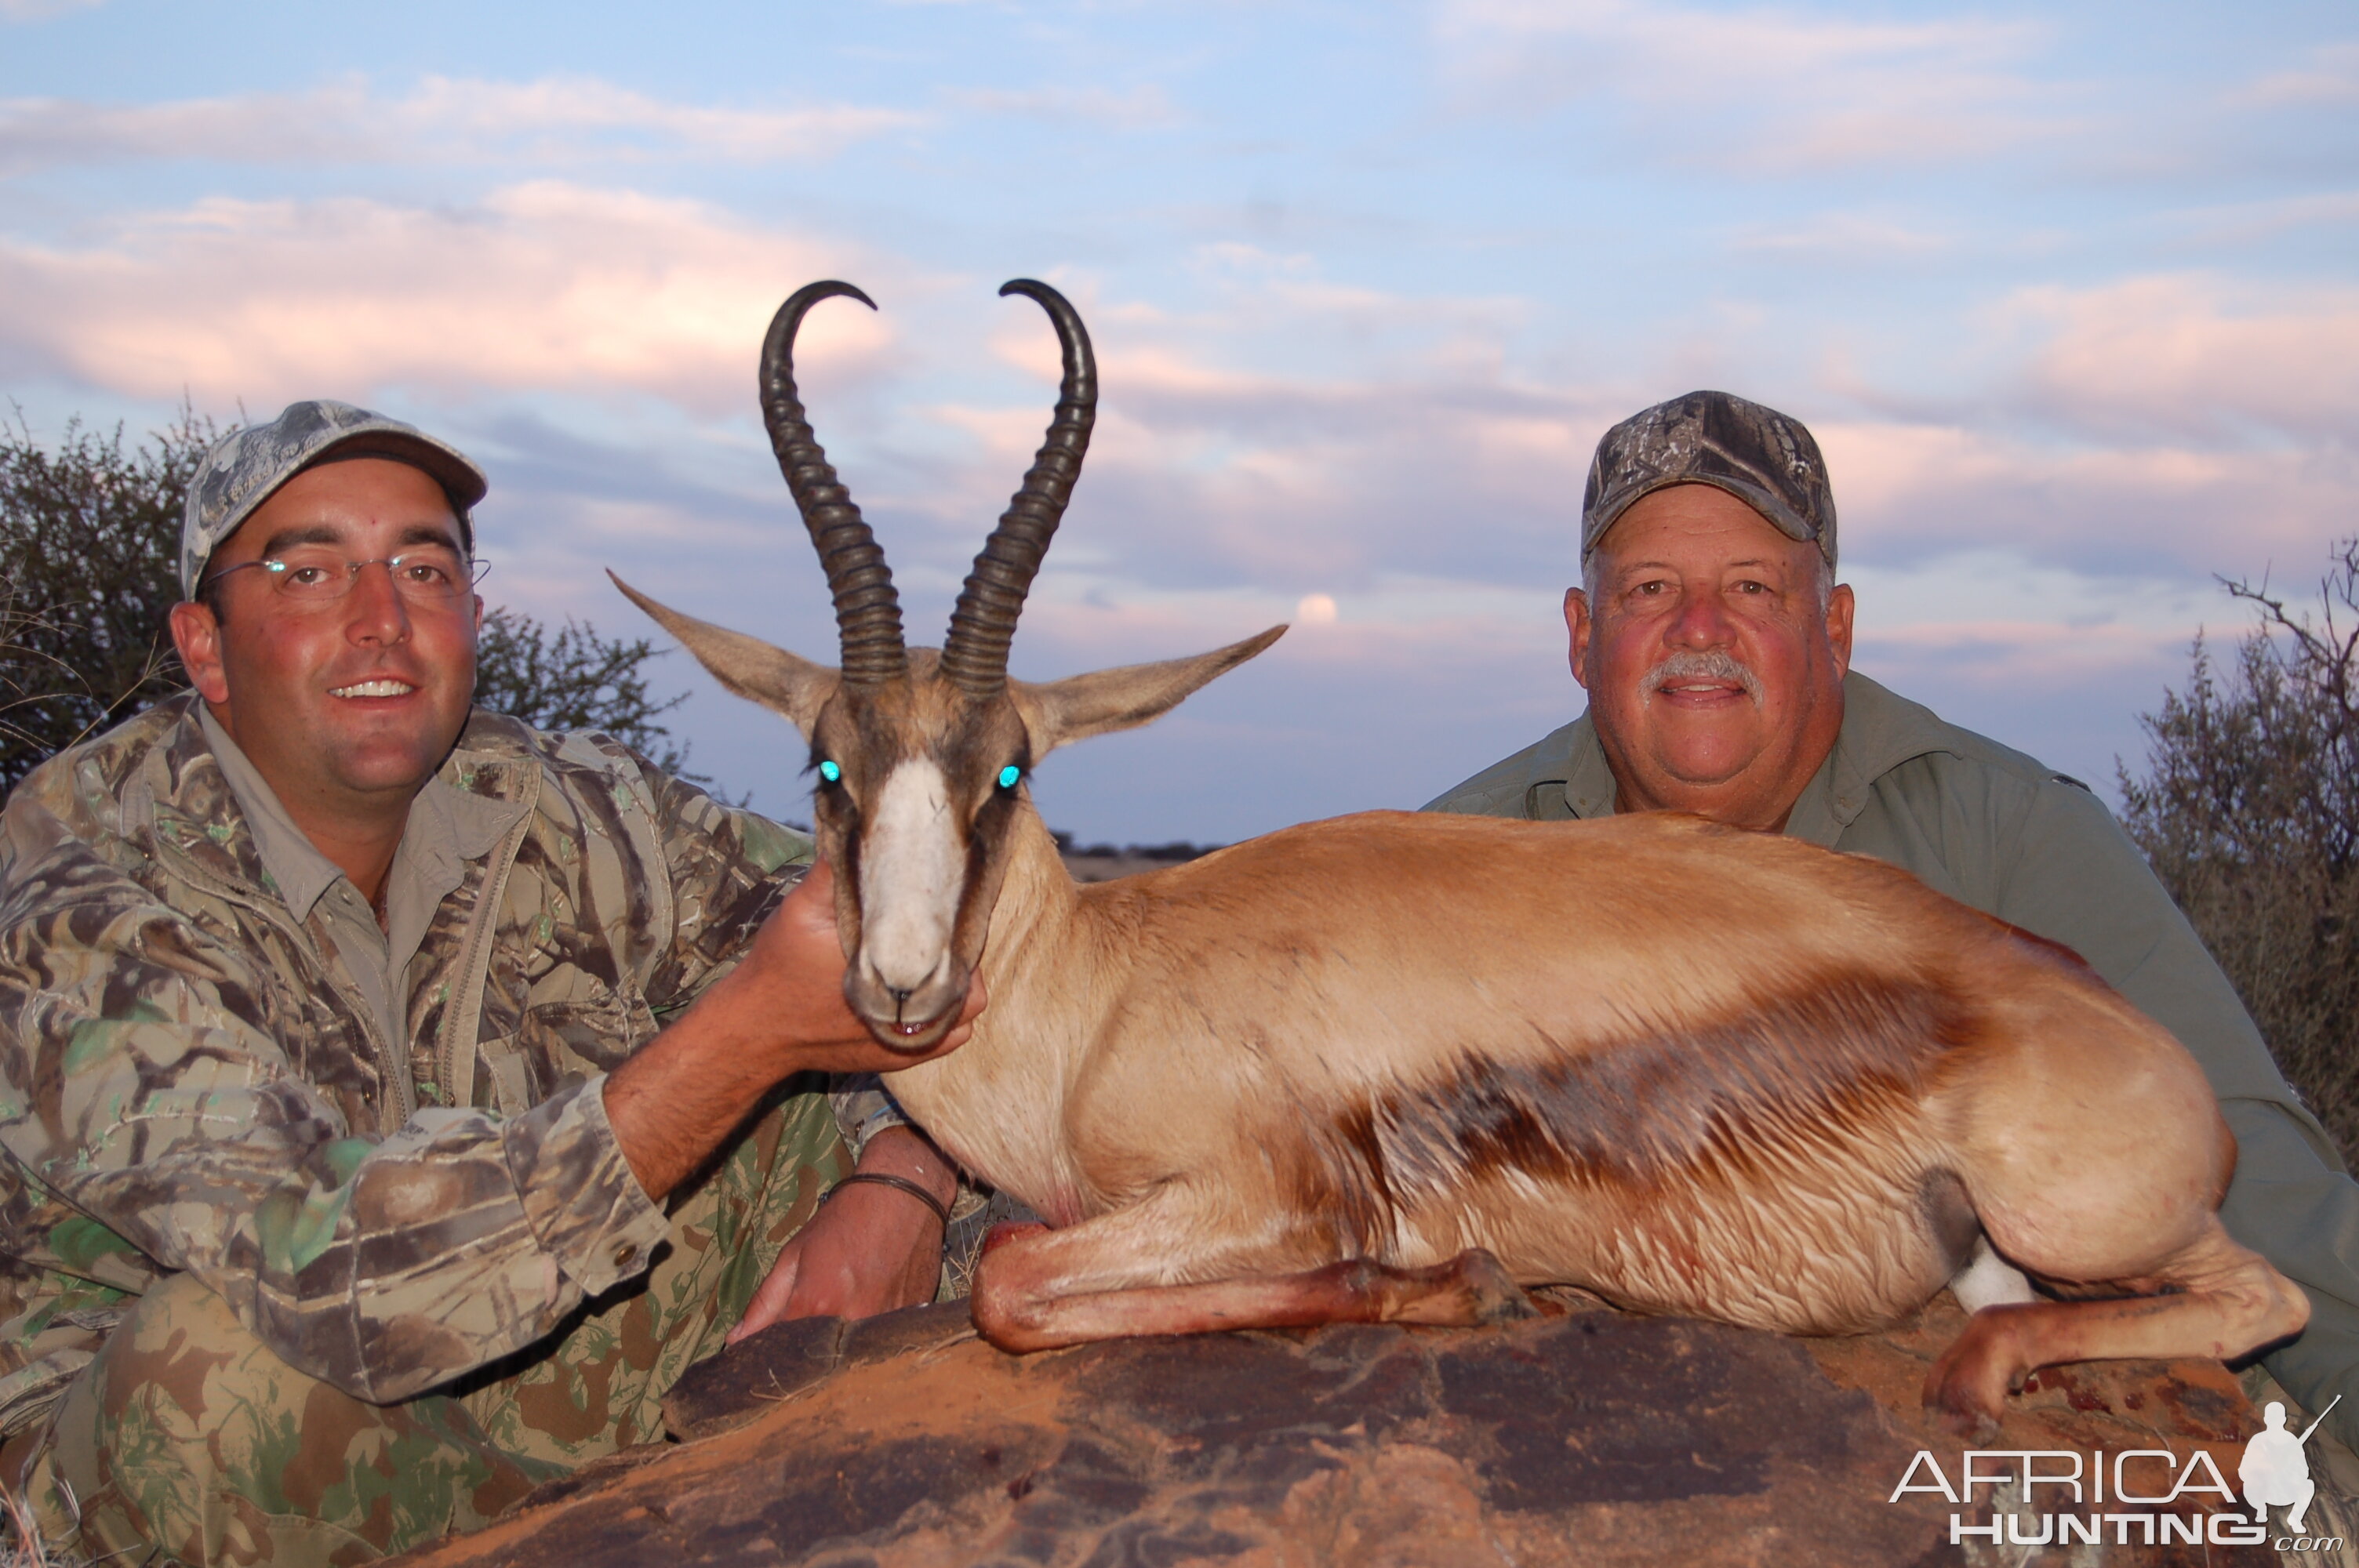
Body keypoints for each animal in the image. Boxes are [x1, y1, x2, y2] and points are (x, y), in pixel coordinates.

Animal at [609, 274, 2302, 1424]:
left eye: (1010, 769)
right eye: (829, 765)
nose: (898, 985)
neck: (1103, 991)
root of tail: (2107, 1020)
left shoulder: (1250, 1190)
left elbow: (1012, 1283)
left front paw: (1445, 1278)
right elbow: (1015, 1273)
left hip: (2067, 1220)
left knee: (2255, 1297)